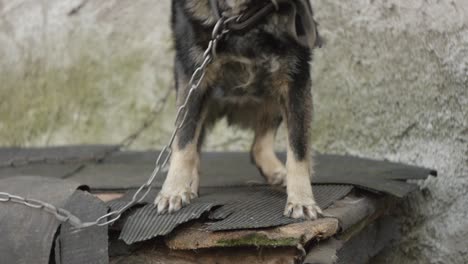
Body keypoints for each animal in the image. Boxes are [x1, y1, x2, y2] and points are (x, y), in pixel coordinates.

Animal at [155, 0, 324, 219]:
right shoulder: (192, 76)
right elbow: (184, 141)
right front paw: (174, 189)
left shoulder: (295, 80)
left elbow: (298, 148)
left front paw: (302, 199)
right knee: (196, 142)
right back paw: (190, 182)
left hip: (273, 96)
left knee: (258, 146)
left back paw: (279, 173)